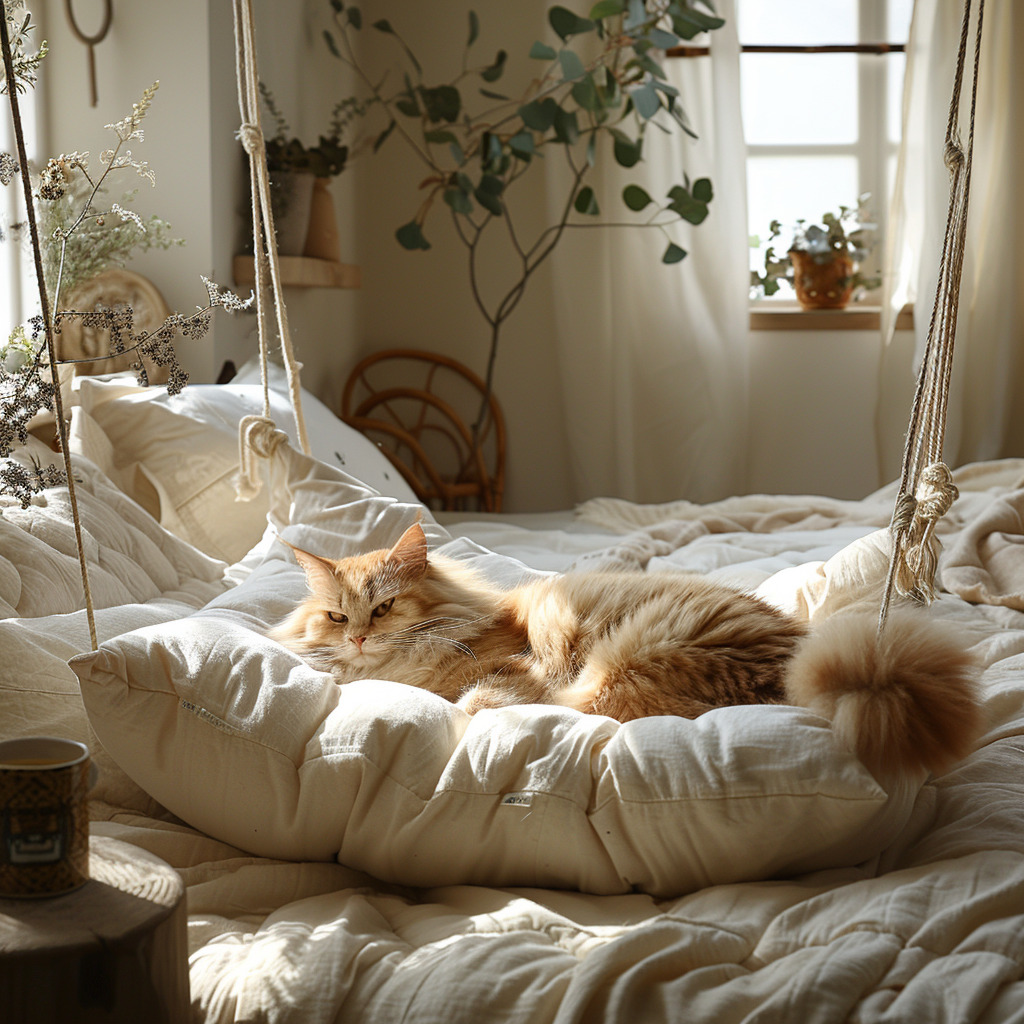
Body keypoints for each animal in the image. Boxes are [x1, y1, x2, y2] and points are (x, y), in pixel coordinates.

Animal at [272, 524, 983, 778]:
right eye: (337, 616)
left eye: (385, 607)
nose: (359, 636)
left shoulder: (511, 669)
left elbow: (480, 697)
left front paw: (470, 709)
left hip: (623, 664)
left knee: (582, 715)